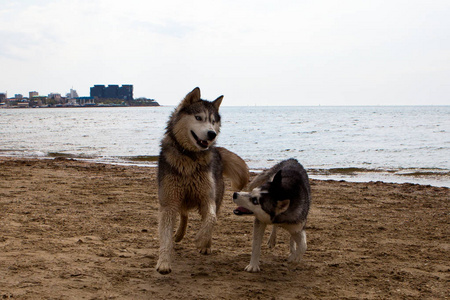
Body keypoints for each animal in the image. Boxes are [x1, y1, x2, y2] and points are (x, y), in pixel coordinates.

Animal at [156, 86, 248, 274]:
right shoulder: (169, 202)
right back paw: (179, 234)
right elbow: (165, 236)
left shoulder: (207, 198)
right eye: (198, 118)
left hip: (216, 196)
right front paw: (164, 262)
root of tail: (218, 151)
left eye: (213, 121)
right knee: (183, 214)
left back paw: (206, 244)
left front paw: (201, 240)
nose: (211, 134)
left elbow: (211, 219)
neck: (190, 158)